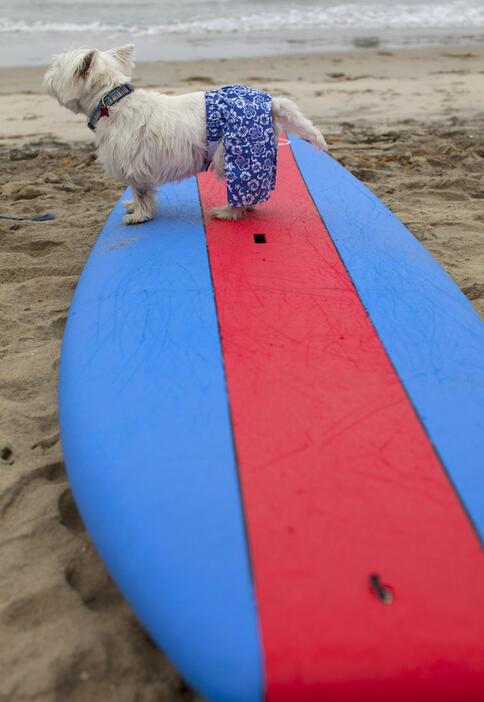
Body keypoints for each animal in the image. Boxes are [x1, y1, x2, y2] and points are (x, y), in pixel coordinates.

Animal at [44, 45, 328, 226]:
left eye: (56, 66)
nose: (44, 77)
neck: (111, 102)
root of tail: (271, 101)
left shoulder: (134, 165)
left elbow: (140, 192)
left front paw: (138, 216)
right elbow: (142, 193)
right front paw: (135, 208)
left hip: (239, 156)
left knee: (242, 188)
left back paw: (228, 211)